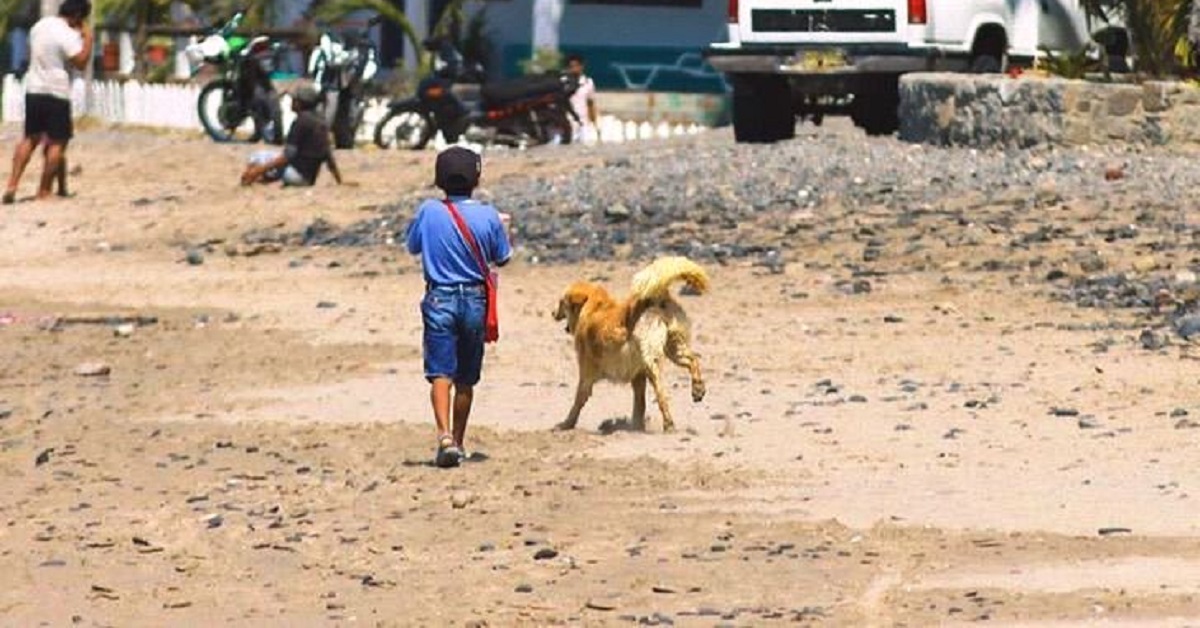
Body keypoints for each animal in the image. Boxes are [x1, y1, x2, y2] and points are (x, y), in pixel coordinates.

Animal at [554, 255, 710, 432]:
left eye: (561, 302)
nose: (552, 313)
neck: (594, 307)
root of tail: (657, 298)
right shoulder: (638, 375)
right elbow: (639, 404)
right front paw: (637, 426)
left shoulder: (587, 371)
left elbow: (578, 401)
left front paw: (566, 424)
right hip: (674, 348)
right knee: (693, 360)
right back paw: (697, 388)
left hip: (651, 361)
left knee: (661, 393)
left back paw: (669, 423)